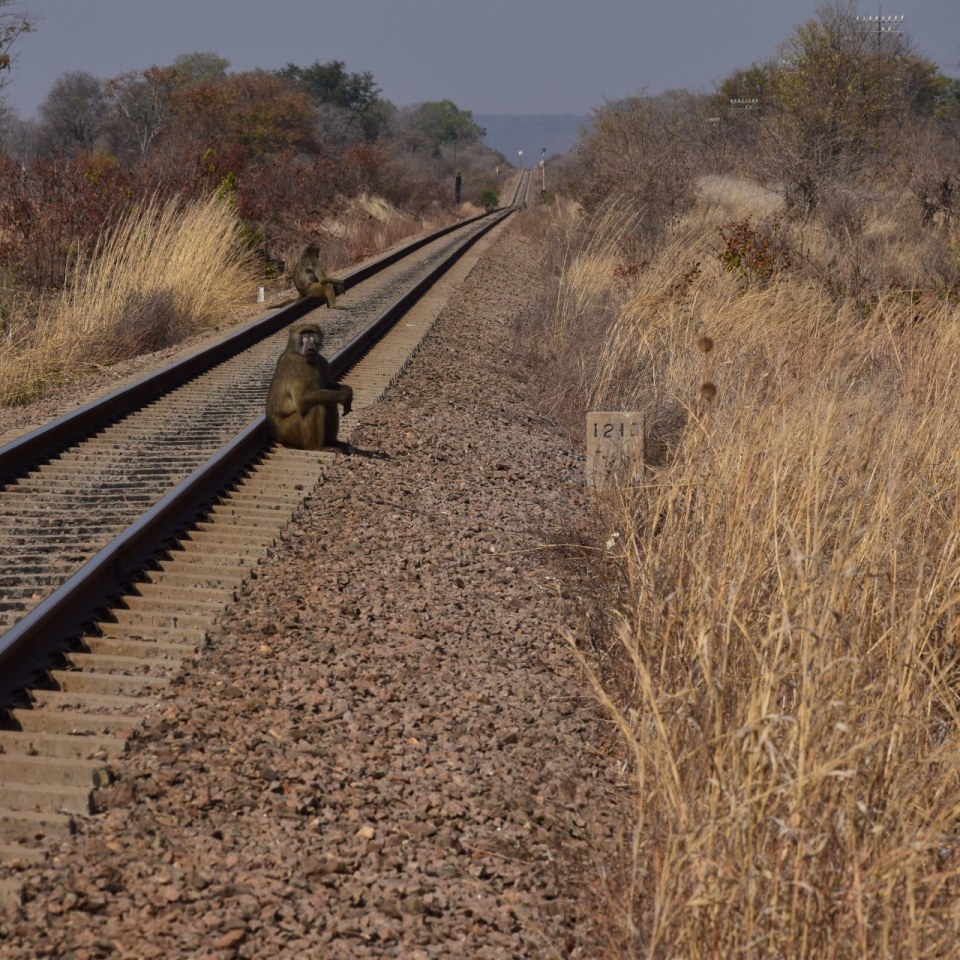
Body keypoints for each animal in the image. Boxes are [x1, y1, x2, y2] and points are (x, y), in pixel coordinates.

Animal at [265, 323, 353, 451]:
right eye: (304, 334)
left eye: (311, 333)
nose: (310, 346)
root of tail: (277, 438)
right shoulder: (299, 367)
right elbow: (303, 398)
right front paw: (344, 396)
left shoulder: (322, 362)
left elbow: (325, 385)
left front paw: (347, 390)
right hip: (288, 432)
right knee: (315, 406)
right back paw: (317, 448)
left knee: (329, 402)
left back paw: (332, 442)